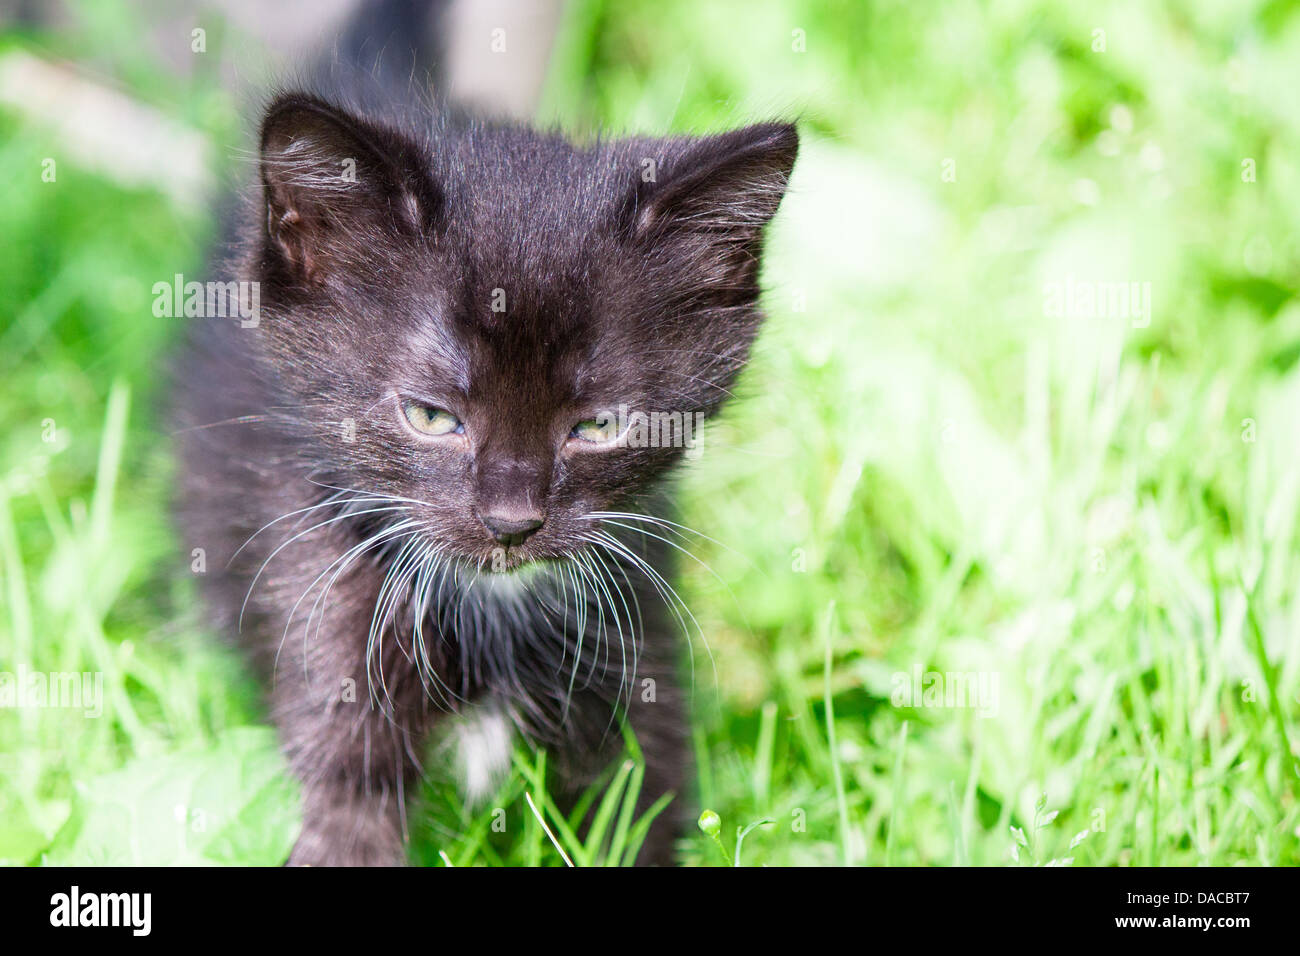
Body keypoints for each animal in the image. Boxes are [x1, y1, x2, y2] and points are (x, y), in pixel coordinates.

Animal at [174, 80, 795, 868]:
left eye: (599, 426)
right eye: (431, 416)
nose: (511, 521)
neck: (489, 609)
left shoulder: (634, 622)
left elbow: (638, 802)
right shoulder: (320, 591)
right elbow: (346, 804)